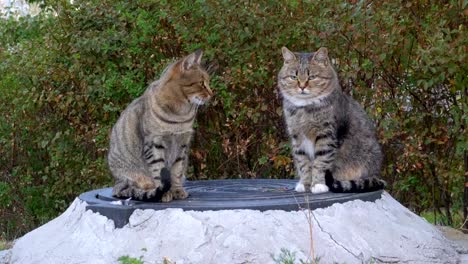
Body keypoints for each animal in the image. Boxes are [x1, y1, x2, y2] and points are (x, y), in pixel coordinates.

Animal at [108, 50, 212, 202]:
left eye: (208, 82)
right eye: (201, 83)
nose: (211, 94)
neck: (180, 114)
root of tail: (117, 183)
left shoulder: (182, 144)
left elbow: (176, 171)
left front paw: (177, 190)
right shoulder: (154, 144)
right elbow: (158, 171)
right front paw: (163, 192)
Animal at [278, 46, 384, 193]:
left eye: (312, 77)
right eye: (294, 77)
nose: (302, 86)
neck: (305, 108)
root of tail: (377, 175)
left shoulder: (326, 135)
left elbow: (321, 161)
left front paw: (318, 184)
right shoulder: (297, 137)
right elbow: (303, 162)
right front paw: (305, 184)